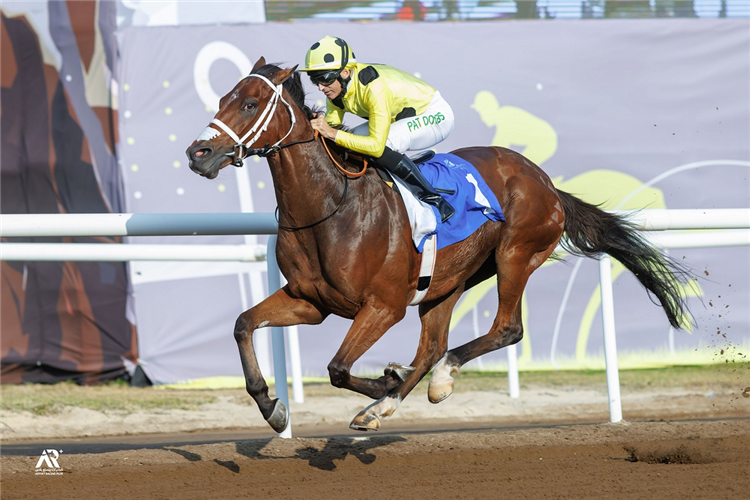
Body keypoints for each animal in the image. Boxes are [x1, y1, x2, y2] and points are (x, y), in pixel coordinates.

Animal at [185, 59, 692, 434]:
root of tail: (545, 182)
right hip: (449, 281)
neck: (330, 207)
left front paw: (384, 384)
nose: (198, 154)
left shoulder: (384, 306)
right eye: (223, 99)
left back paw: (433, 382)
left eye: (251, 103)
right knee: (433, 346)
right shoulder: (310, 302)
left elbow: (338, 368)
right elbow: (244, 325)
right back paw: (401, 395)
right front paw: (273, 408)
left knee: (505, 330)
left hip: (516, 254)